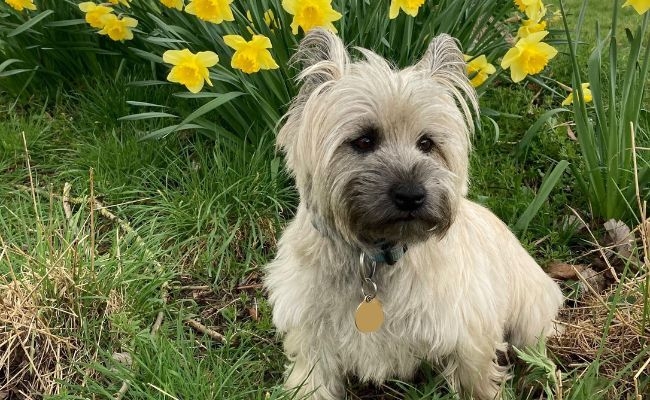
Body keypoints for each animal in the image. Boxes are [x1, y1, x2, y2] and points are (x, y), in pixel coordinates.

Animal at [264, 28, 560, 400]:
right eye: (364, 140)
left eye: (427, 143)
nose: (411, 195)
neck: (375, 257)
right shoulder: (312, 335)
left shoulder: (467, 333)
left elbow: (476, 379)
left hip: (530, 313)